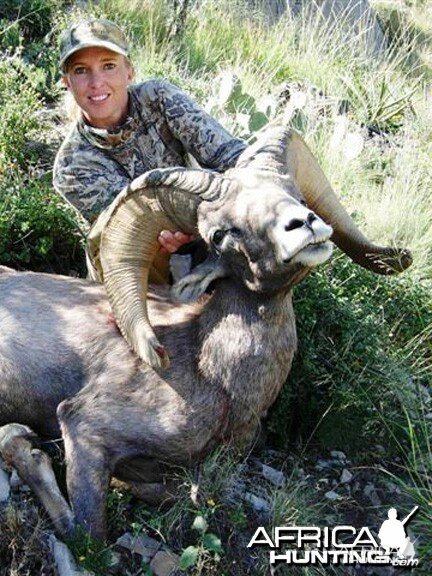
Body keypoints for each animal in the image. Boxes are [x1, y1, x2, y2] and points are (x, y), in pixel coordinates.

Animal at [0, 125, 410, 540]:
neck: (215, 378)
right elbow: (87, 531)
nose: (304, 224)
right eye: (219, 235)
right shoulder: (85, 430)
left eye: (293, 194)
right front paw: (25, 446)